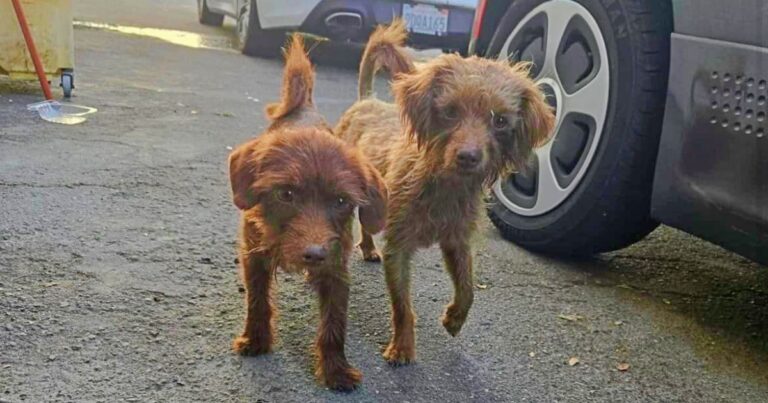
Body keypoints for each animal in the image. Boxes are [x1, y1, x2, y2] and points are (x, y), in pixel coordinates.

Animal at [226, 34, 384, 392]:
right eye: (286, 194)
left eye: (341, 201)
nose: (314, 254)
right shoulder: (253, 256)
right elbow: (257, 301)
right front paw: (256, 340)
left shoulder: (337, 268)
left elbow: (334, 324)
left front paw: (336, 370)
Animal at [334, 19, 552, 366]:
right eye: (450, 112)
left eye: (500, 121)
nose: (468, 156)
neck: (444, 187)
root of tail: (366, 100)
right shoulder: (399, 248)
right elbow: (403, 307)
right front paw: (402, 347)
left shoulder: (457, 242)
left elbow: (468, 288)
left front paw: (454, 319)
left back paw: (367, 249)